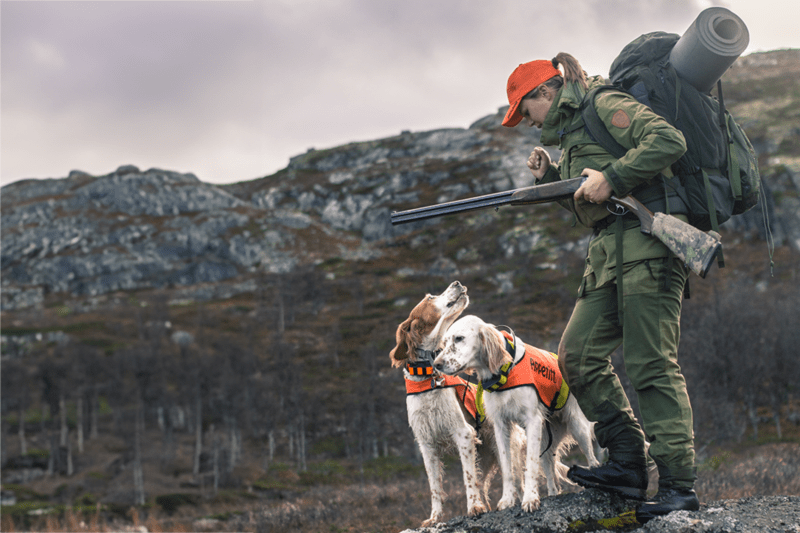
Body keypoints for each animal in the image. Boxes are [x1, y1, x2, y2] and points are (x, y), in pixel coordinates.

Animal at [434, 316, 596, 512]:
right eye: (444, 342)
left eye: (459, 338)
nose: (436, 364)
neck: (503, 373)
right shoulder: (500, 425)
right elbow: (507, 468)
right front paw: (507, 499)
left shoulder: (532, 420)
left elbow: (530, 466)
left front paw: (530, 499)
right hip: (545, 441)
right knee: (552, 477)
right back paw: (552, 494)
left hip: (577, 426)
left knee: (593, 459)